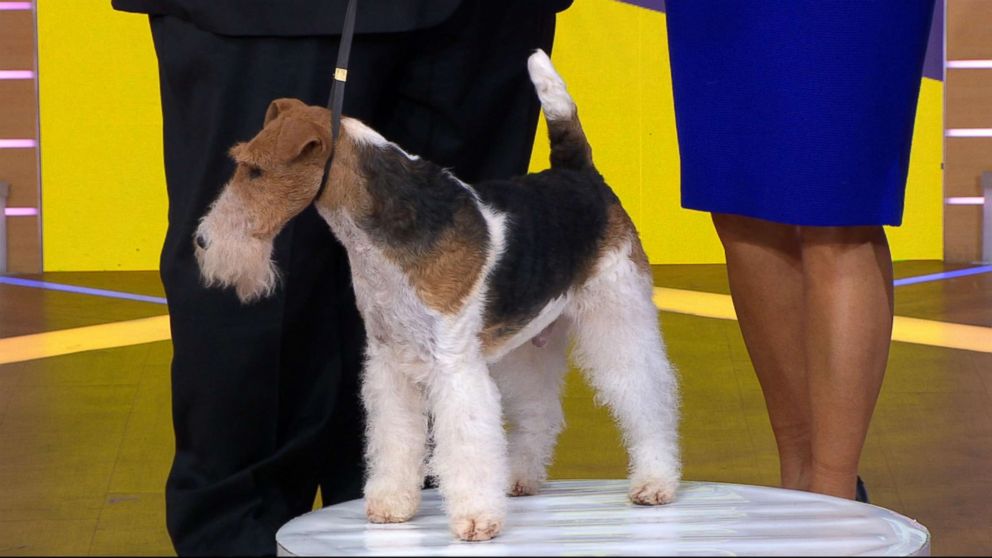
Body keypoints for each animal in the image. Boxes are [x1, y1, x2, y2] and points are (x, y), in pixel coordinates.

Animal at [195, 51, 680, 544]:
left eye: (255, 170)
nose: (201, 241)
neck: (381, 238)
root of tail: (580, 175)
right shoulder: (390, 361)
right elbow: (394, 438)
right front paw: (391, 504)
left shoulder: (454, 365)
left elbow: (466, 441)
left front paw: (476, 520)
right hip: (526, 342)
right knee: (538, 412)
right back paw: (519, 479)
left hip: (617, 317)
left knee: (646, 396)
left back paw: (654, 483)